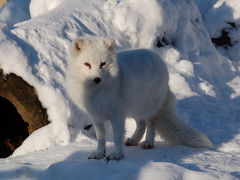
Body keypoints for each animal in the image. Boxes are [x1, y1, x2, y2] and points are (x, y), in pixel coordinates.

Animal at [65, 36, 212, 162]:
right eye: (87, 64)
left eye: (103, 64)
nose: (97, 79)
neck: (97, 92)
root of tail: (159, 60)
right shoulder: (97, 116)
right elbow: (101, 138)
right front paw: (100, 153)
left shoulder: (117, 115)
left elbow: (117, 136)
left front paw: (117, 155)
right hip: (134, 108)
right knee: (141, 124)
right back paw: (134, 140)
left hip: (148, 108)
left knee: (151, 124)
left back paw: (148, 143)